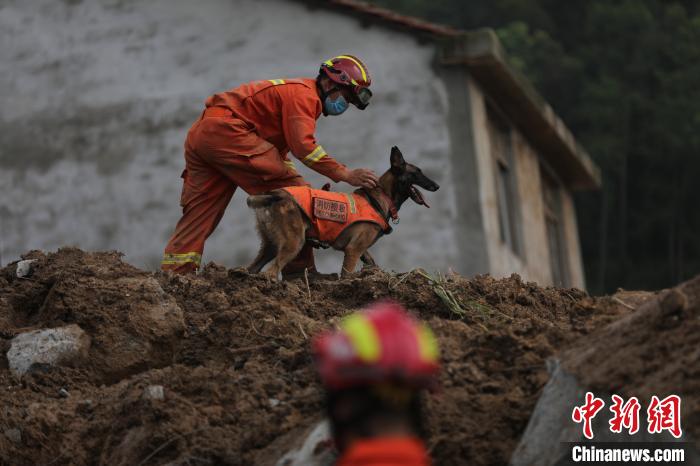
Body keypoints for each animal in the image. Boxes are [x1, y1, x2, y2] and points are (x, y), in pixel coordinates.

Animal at [246, 147, 438, 276]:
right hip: (294, 242)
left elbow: (371, 262)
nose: (437, 186)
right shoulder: (353, 250)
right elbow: (347, 275)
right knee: (271, 271)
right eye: (417, 173)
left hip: (270, 246)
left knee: (253, 269)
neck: (382, 196)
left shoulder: (361, 250)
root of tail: (274, 194)